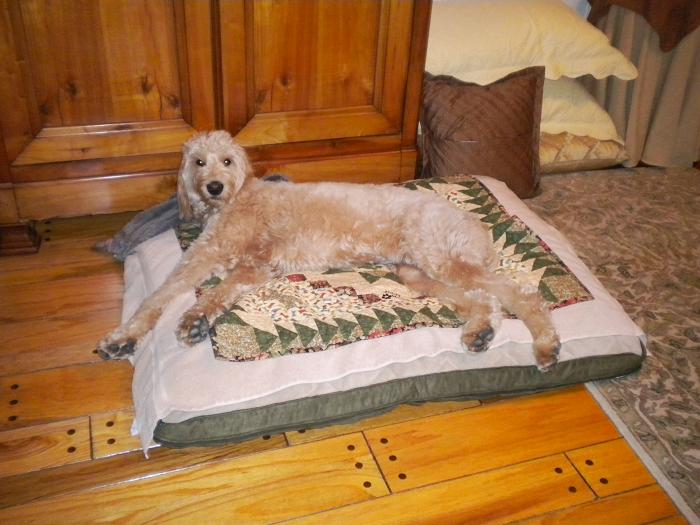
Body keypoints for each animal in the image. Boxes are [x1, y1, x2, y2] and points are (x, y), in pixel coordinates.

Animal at [95, 129, 560, 370]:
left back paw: (546, 346)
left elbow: (186, 296)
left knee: (522, 295)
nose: (212, 187)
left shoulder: (238, 263)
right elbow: (174, 299)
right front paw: (137, 335)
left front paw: (181, 321)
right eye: (198, 161)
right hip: (418, 272)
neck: (240, 196)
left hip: (441, 259)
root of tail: (475, 224)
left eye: (226, 161)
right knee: (485, 301)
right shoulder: (230, 264)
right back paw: (480, 332)